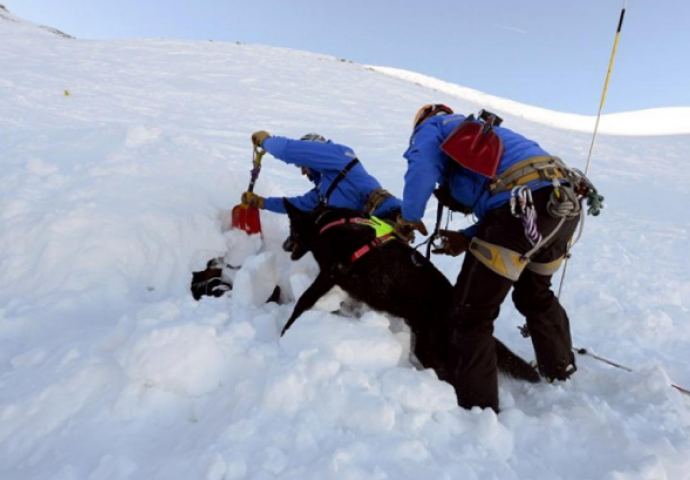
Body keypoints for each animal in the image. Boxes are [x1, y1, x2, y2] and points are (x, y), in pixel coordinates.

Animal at [280, 201, 536, 384]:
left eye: (292, 230)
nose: (284, 246)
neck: (322, 224)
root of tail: (452, 302)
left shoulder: (330, 273)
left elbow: (303, 300)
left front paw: (285, 332)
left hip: (428, 348)